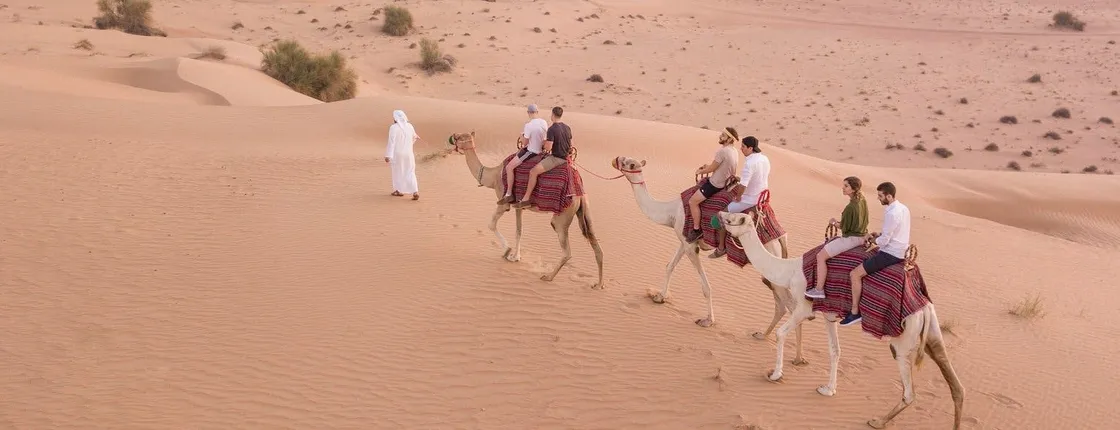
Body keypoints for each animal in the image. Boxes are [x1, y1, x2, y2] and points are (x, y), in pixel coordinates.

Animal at [447, 132, 604, 289]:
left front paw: (507, 251)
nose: (451, 138)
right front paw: (516, 257)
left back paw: (548, 277)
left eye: (459, 137)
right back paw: (599, 284)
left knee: (567, 250)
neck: (493, 177)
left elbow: (491, 224)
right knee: (594, 241)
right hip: (584, 210)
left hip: (563, 216)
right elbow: (519, 230)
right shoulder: (519, 205)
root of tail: (579, 191)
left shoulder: (503, 201)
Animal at [609, 156, 800, 344]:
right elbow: (669, 266)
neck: (671, 212)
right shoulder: (685, 240)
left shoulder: (691, 246)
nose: (616, 159)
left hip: (771, 255)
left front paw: (708, 320)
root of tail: (781, 236)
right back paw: (762, 335)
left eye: (630, 164)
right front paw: (660, 297)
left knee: (790, 304)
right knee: (781, 304)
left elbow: (705, 287)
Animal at [716, 210, 964, 430]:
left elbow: (781, 333)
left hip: (903, 340)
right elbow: (835, 351)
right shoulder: (829, 315)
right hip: (931, 332)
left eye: (732, 219)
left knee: (910, 392)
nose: (719, 214)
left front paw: (775, 374)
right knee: (955, 383)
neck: (790, 271)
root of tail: (924, 306)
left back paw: (878, 421)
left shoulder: (804, 307)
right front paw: (828, 389)